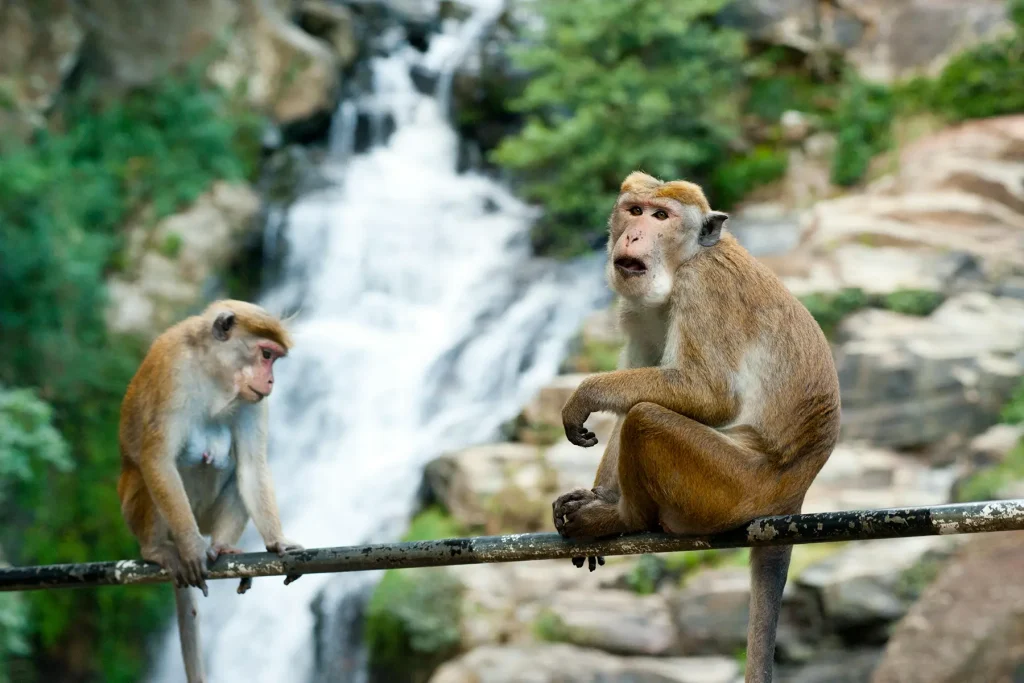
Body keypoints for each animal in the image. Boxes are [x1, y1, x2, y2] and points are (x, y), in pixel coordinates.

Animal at [117, 299, 305, 683]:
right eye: (266, 354)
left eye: (274, 360)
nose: (271, 381)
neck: (213, 374)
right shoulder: (172, 369)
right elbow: (158, 459)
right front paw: (191, 549)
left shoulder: (252, 400)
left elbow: (252, 467)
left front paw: (279, 542)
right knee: (146, 472)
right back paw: (159, 549)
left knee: (237, 473)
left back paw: (221, 546)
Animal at [550, 172, 841, 683]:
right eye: (634, 210)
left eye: (661, 216)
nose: (633, 234)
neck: (684, 260)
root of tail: (794, 494)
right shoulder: (639, 309)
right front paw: (596, 492)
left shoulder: (704, 286)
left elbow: (707, 393)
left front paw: (585, 395)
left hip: (731, 487)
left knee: (647, 419)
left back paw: (622, 518)